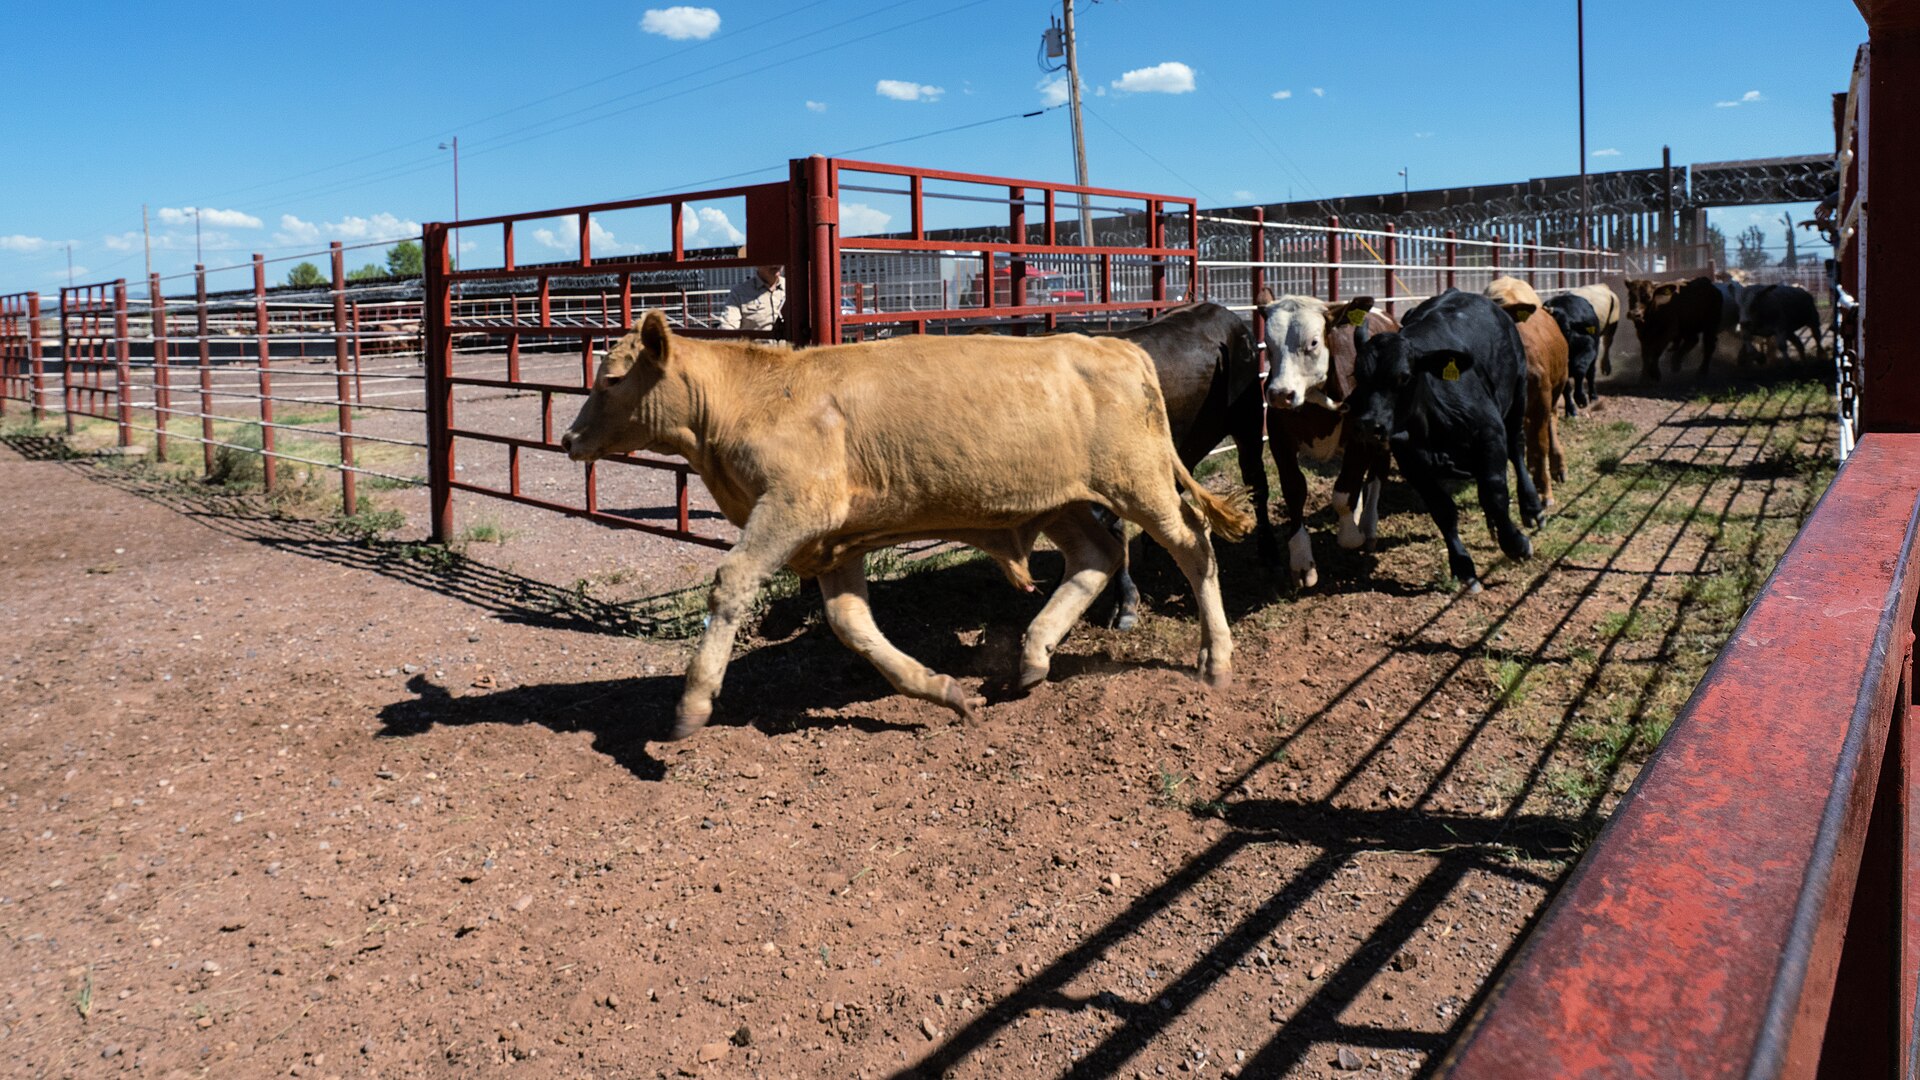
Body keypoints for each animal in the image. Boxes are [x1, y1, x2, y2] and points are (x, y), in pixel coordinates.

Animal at [560, 311, 1253, 738]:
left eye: (612, 378)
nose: (567, 438)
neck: (754, 397)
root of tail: (1118, 345)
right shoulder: (831, 543)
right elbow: (851, 624)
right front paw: (943, 691)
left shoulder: (793, 508)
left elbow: (732, 580)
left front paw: (692, 703)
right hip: (1062, 501)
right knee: (1097, 556)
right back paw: (1032, 655)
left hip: (1140, 483)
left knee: (1193, 546)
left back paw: (1215, 658)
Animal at [1254, 288, 1398, 588]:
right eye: (1269, 345)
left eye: (1313, 342)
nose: (1280, 394)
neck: (1313, 402)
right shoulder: (1280, 442)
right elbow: (1295, 491)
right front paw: (1301, 561)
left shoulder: (1361, 438)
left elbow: (1343, 494)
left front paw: (1351, 534)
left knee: (1376, 474)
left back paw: (1367, 526)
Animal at [1347, 289, 1541, 593]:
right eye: (1358, 376)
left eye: (1403, 377)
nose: (1368, 425)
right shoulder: (1412, 462)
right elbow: (1443, 510)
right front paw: (1463, 566)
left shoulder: (1490, 435)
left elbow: (1495, 495)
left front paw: (1516, 544)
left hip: (1518, 396)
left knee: (1517, 448)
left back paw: (1531, 507)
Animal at [1485, 277, 1569, 508]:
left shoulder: (1541, 400)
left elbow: (1539, 446)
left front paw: (1544, 493)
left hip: (1557, 386)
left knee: (1551, 423)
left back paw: (1558, 467)